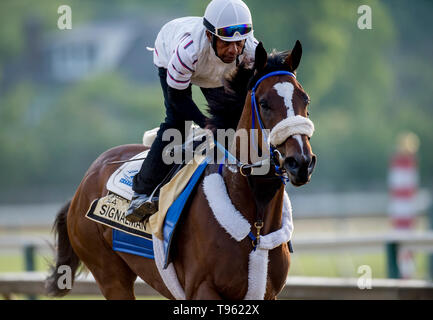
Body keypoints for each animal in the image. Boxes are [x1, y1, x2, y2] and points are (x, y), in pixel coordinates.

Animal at [45, 40, 316, 300]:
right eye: (264, 103)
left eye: (305, 100)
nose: (301, 162)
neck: (256, 227)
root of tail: (82, 186)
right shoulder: (201, 289)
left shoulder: (267, 292)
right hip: (109, 274)